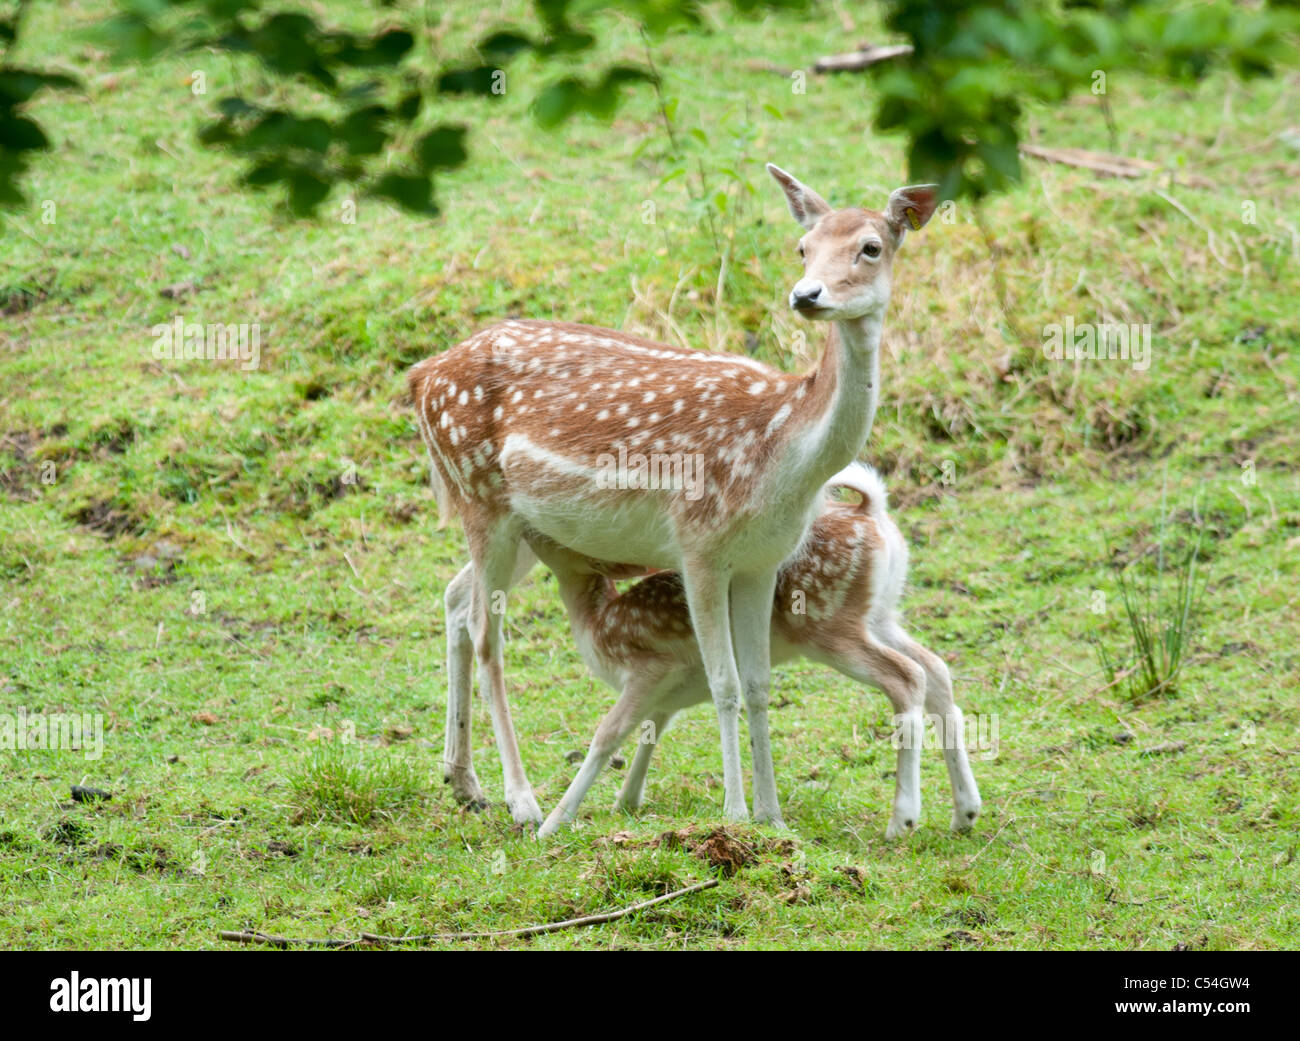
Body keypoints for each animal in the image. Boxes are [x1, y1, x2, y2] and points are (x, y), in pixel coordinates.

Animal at [410, 164, 941, 826]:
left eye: (871, 247)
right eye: (803, 247)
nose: (806, 295)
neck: (782, 454)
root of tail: (420, 377)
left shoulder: (762, 560)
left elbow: (760, 684)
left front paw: (772, 816)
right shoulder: (699, 545)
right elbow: (725, 683)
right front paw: (736, 815)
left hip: (525, 526)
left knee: (456, 599)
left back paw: (463, 780)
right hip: (481, 498)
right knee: (488, 636)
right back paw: (523, 800)